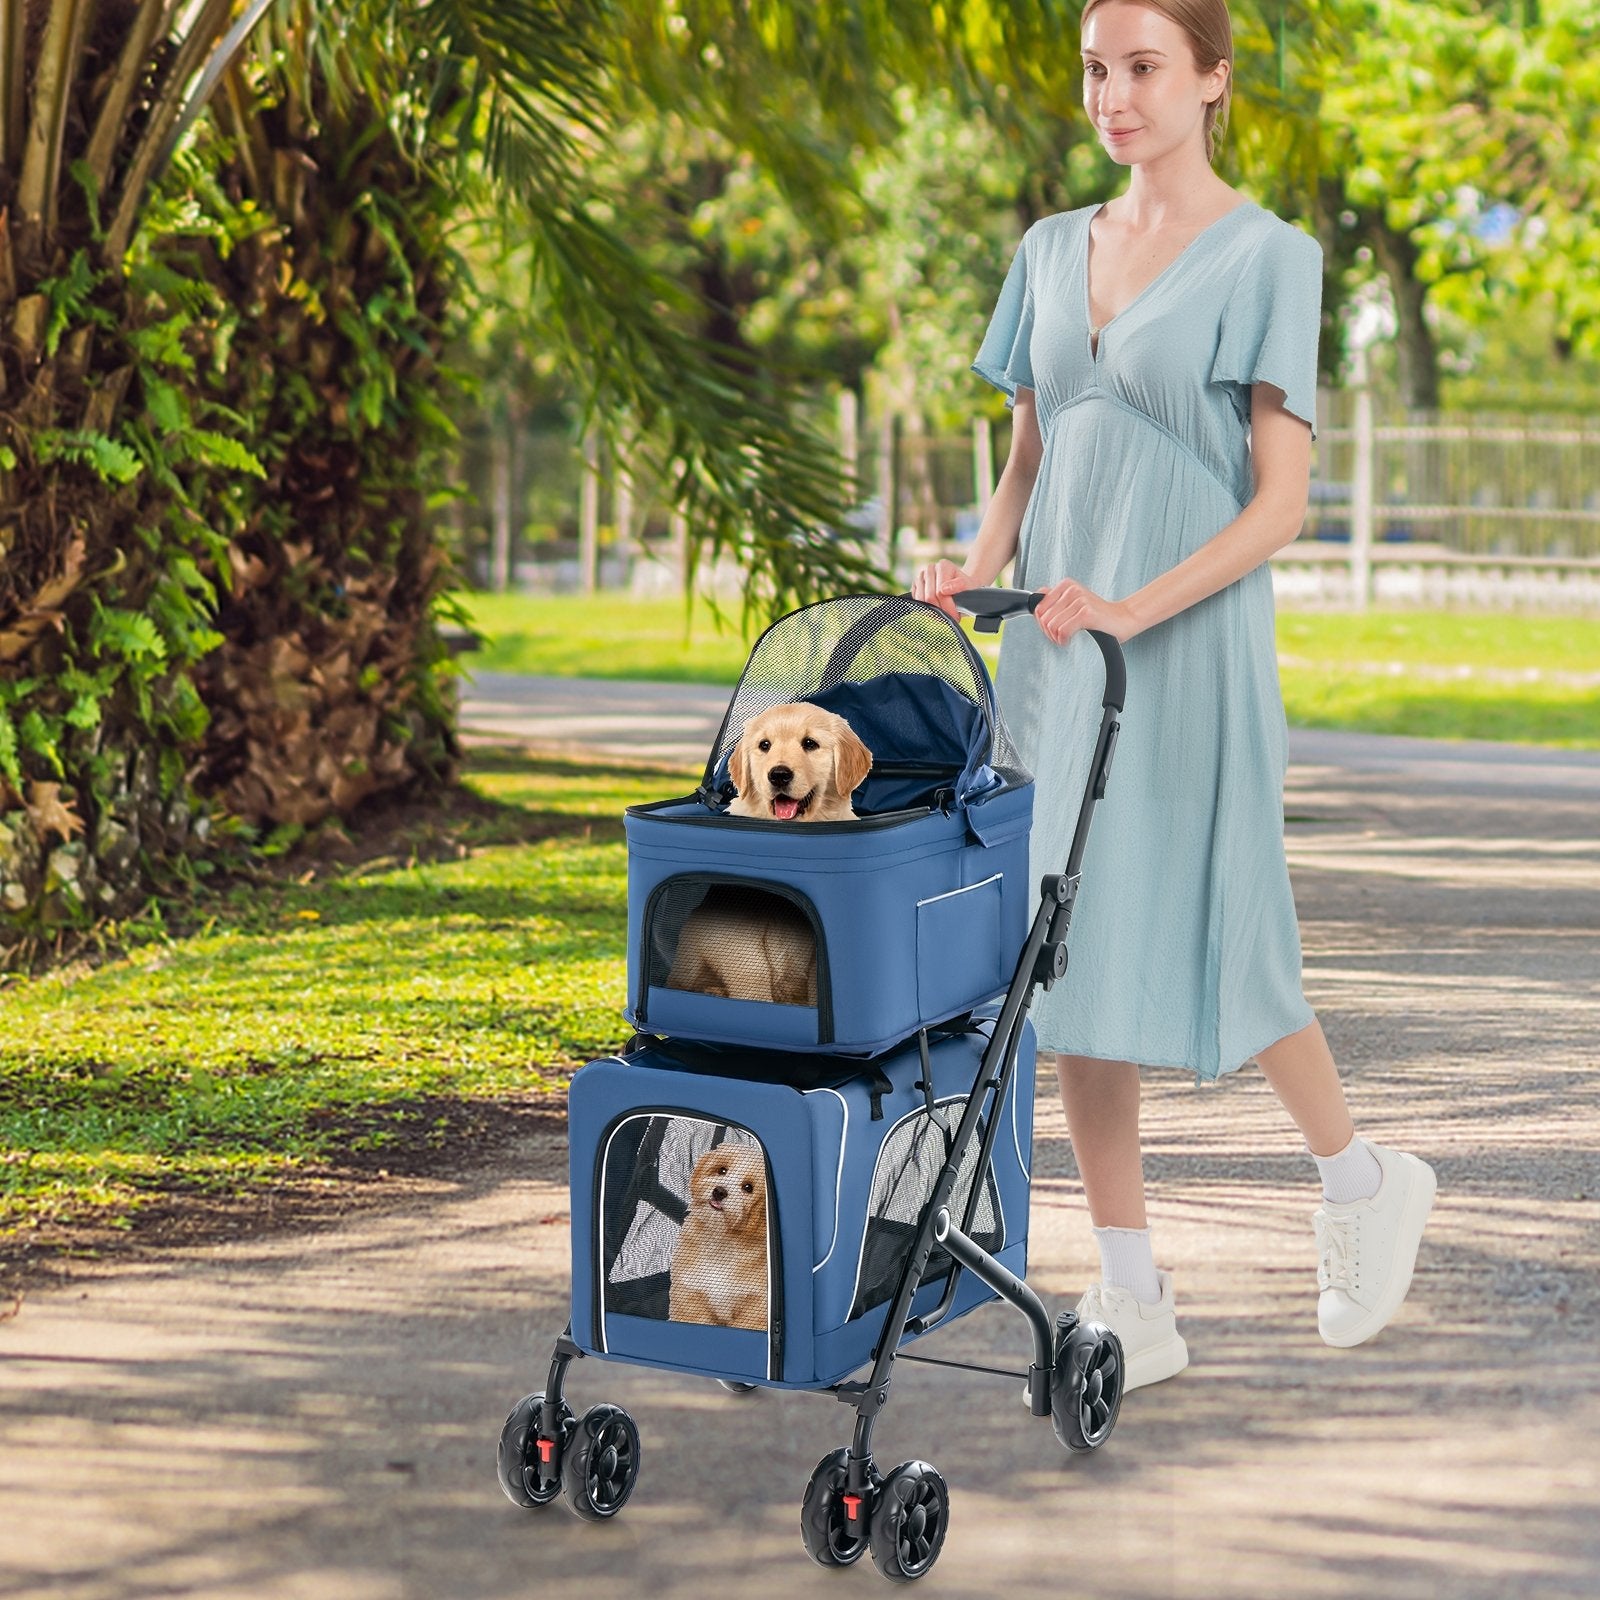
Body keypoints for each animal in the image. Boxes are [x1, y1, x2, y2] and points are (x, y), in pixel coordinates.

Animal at [668, 1145, 768, 1331]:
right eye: (722, 1170)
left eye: (748, 1187)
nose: (719, 1191)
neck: (721, 1240)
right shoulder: (690, 1294)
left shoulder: (755, 1307)